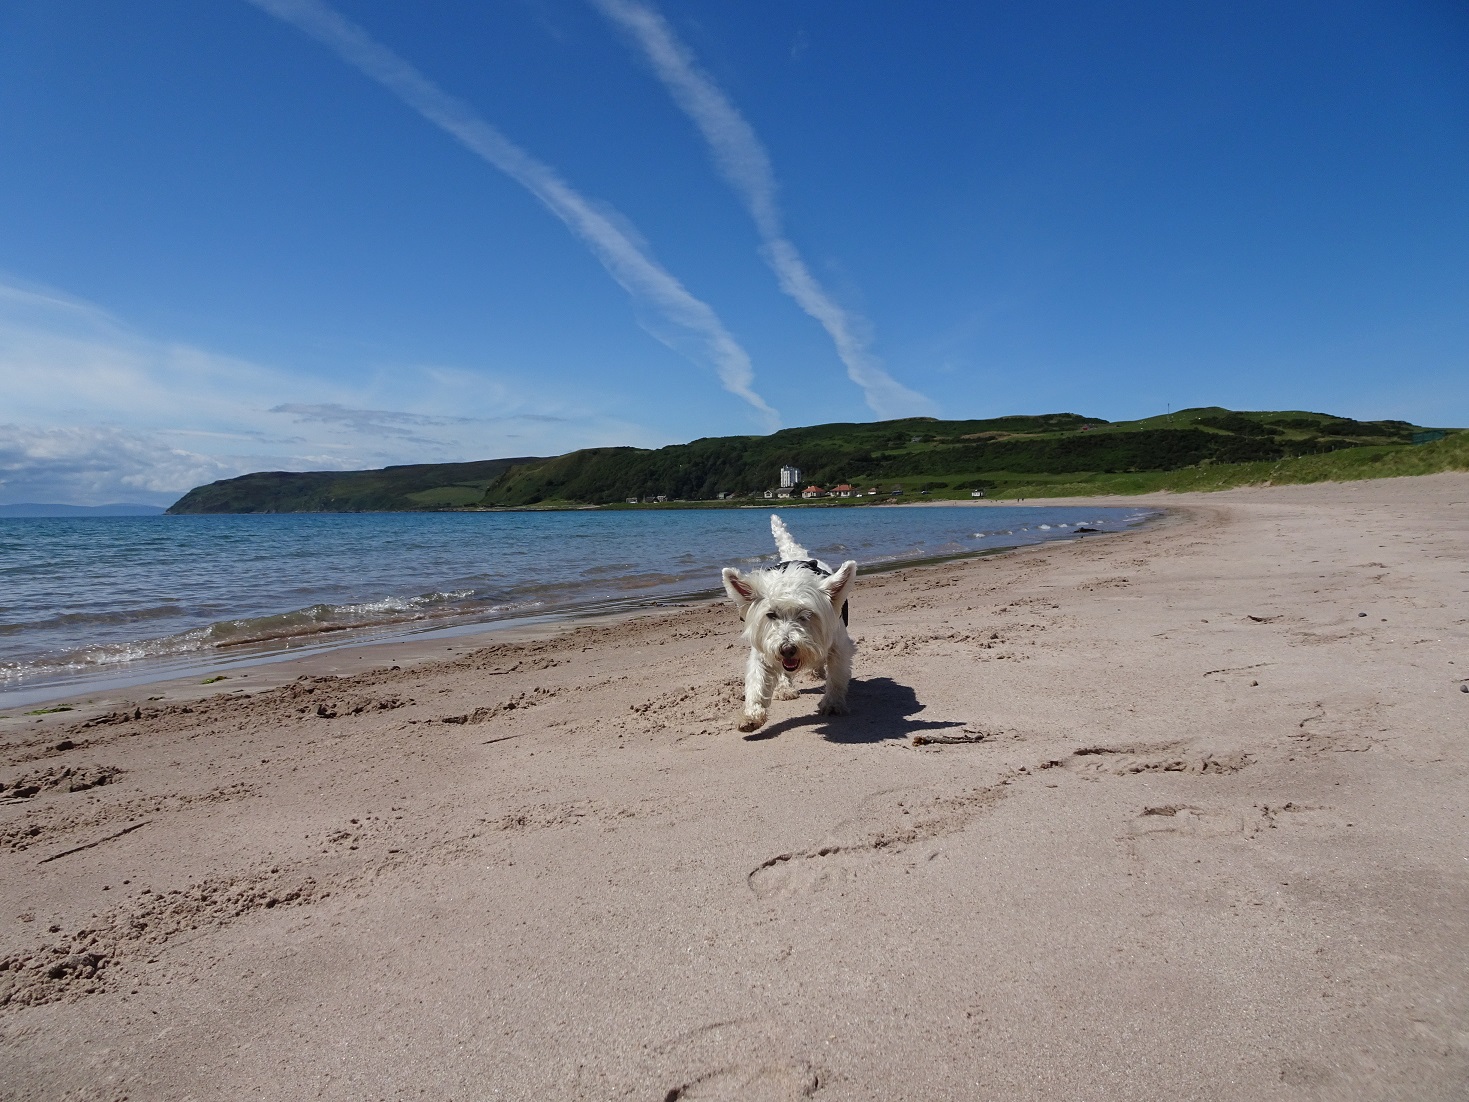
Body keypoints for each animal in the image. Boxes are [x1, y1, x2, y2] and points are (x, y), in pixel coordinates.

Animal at [719, 517, 857, 734]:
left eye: (806, 615)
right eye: (771, 614)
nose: (787, 649)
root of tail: (796, 556)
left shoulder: (839, 647)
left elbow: (836, 677)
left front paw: (833, 704)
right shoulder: (764, 651)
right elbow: (757, 682)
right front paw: (751, 716)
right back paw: (785, 688)